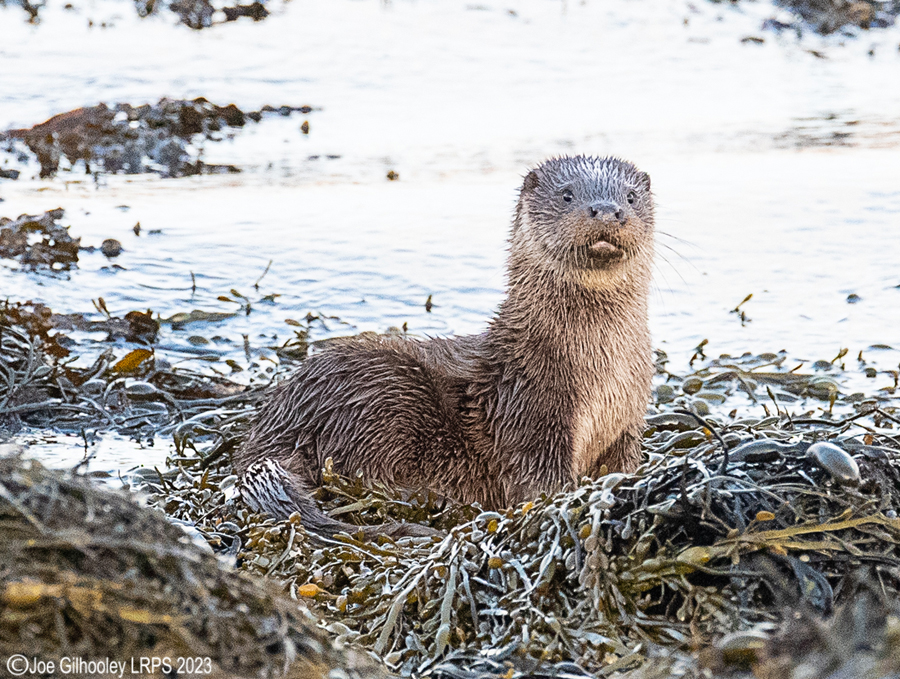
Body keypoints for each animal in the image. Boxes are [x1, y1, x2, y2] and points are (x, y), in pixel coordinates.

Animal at [234, 155, 655, 538]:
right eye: (567, 195)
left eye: (630, 197)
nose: (607, 211)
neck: (601, 371)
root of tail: (280, 418)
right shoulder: (529, 409)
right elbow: (537, 479)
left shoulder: (628, 419)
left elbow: (624, 465)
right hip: (384, 395)